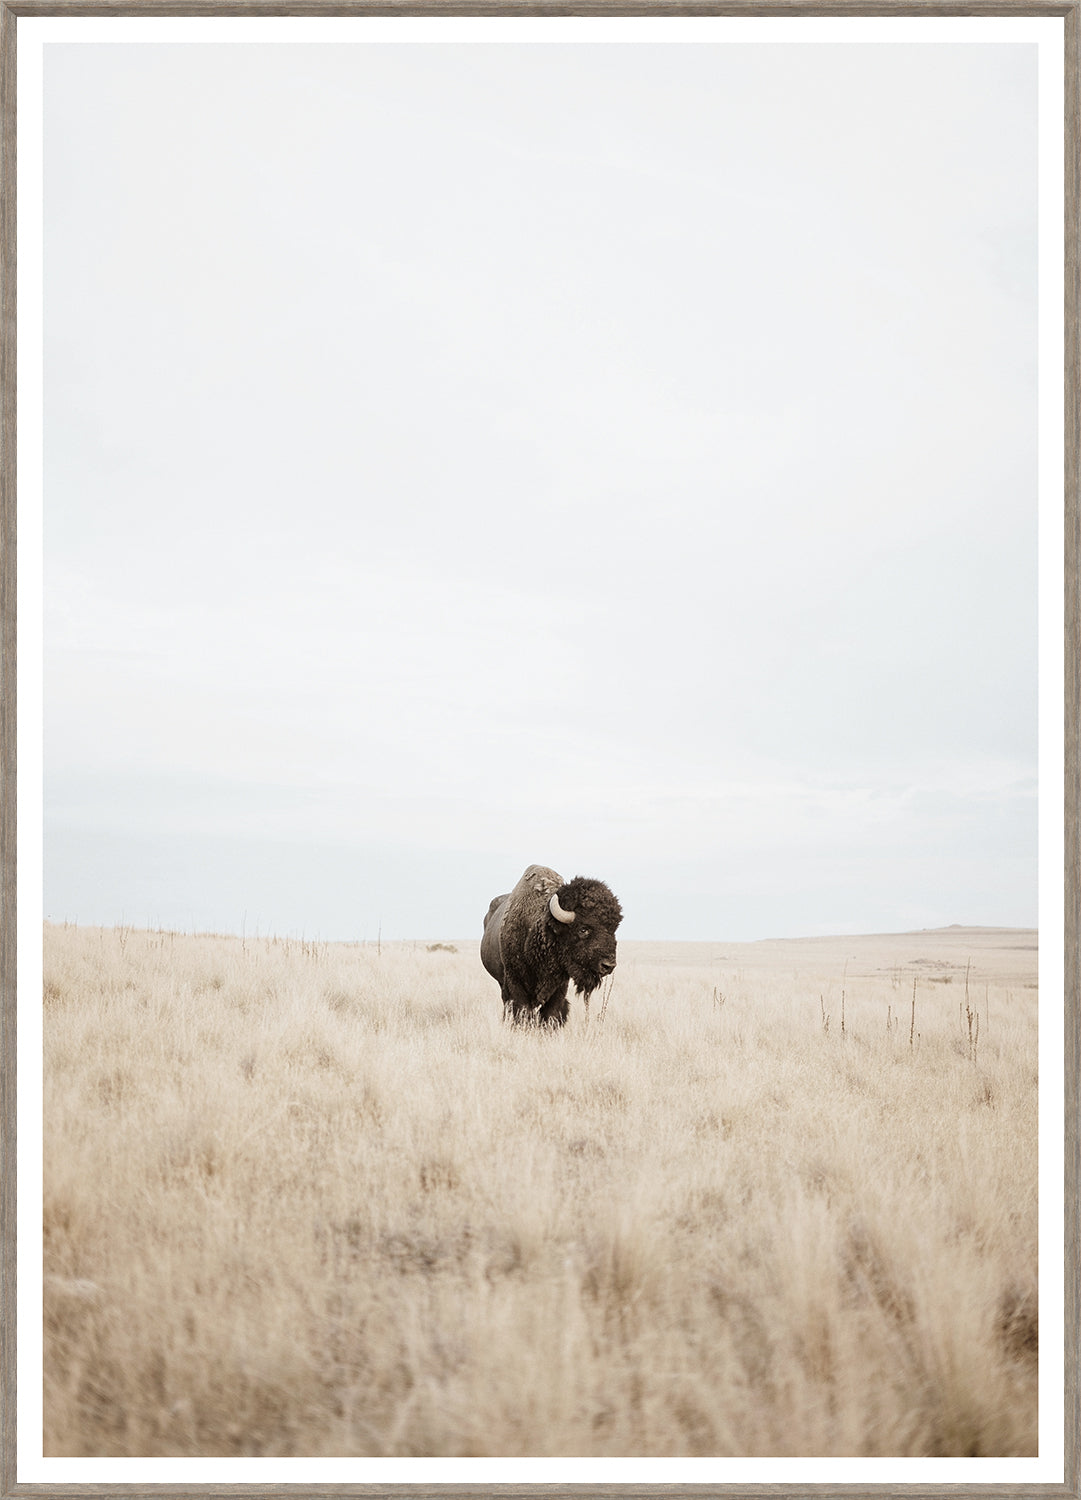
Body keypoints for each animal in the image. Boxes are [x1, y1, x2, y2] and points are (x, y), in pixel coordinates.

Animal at [480, 864, 622, 1027]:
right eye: (583, 929)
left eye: (613, 929)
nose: (608, 966)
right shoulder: (515, 982)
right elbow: (522, 1012)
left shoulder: (559, 987)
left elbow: (551, 1013)